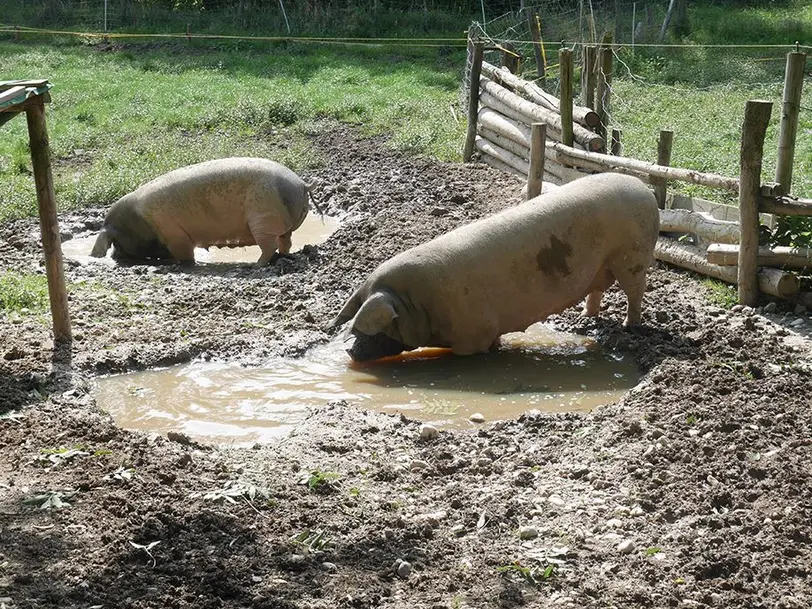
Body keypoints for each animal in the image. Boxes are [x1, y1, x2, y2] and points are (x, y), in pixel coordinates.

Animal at [91, 157, 314, 264]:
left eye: (116, 241)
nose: (115, 257)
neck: (141, 222)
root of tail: (301, 184)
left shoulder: (175, 235)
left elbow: (185, 255)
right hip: (279, 223)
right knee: (285, 242)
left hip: (263, 220)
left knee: (269, 247)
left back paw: (254, 265)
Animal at [330, 171, 660, 360]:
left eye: (376, 328)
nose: (348, 351)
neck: (417, 304)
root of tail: (644, 189)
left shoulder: (472, 333)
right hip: (605, 263)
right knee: (597, 289)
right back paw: (585, 317)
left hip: (633, 255)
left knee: (636, 290)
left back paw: (630, 325)